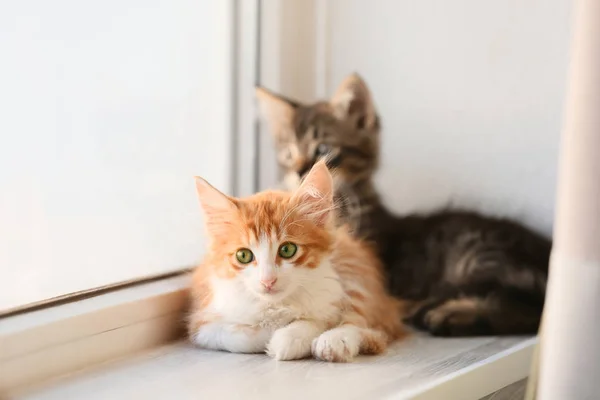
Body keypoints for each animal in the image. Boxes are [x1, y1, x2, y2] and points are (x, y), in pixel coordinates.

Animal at [190, 160, 406, 362]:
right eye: (243, 255)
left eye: (287, 250)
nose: (268, 280)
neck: (276, 304)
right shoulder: (203, 322)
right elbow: (237, 335)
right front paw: (270, 331)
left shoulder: (332, 293)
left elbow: (319, 320)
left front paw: (287, 338)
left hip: (354, 272)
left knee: (363, 318)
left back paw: (335, 341)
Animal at [255, 73, 552, 336]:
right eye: (288, 153)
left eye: (323, 149)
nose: (297, 171)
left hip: (482, 255)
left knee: (530, 308)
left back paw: (449, 314)